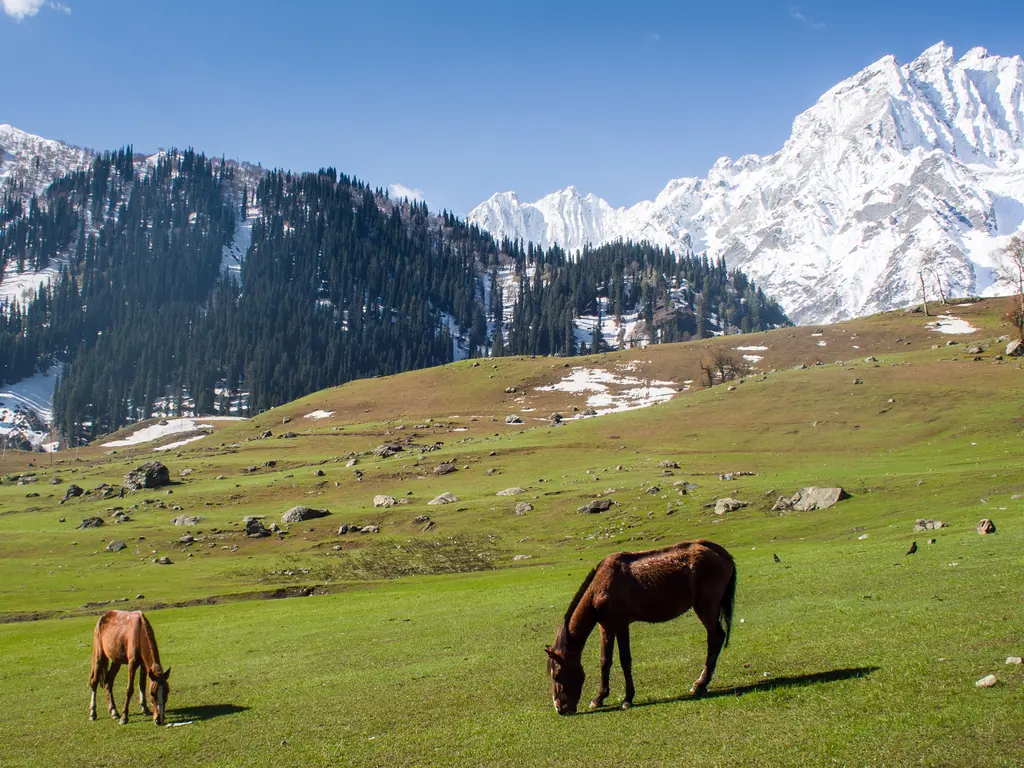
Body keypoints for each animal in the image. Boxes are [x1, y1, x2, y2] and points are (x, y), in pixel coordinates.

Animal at [545, 539, 736, 715]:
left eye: (557, 675)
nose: (560, 709)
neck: (600, 586)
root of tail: (719, 552)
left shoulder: (621, 624)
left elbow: (625, 660)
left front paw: (627, 698)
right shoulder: (606, 626)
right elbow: (605, 661)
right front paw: (599, 698)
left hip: (706, 607)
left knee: (715, 638)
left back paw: (700, 684)